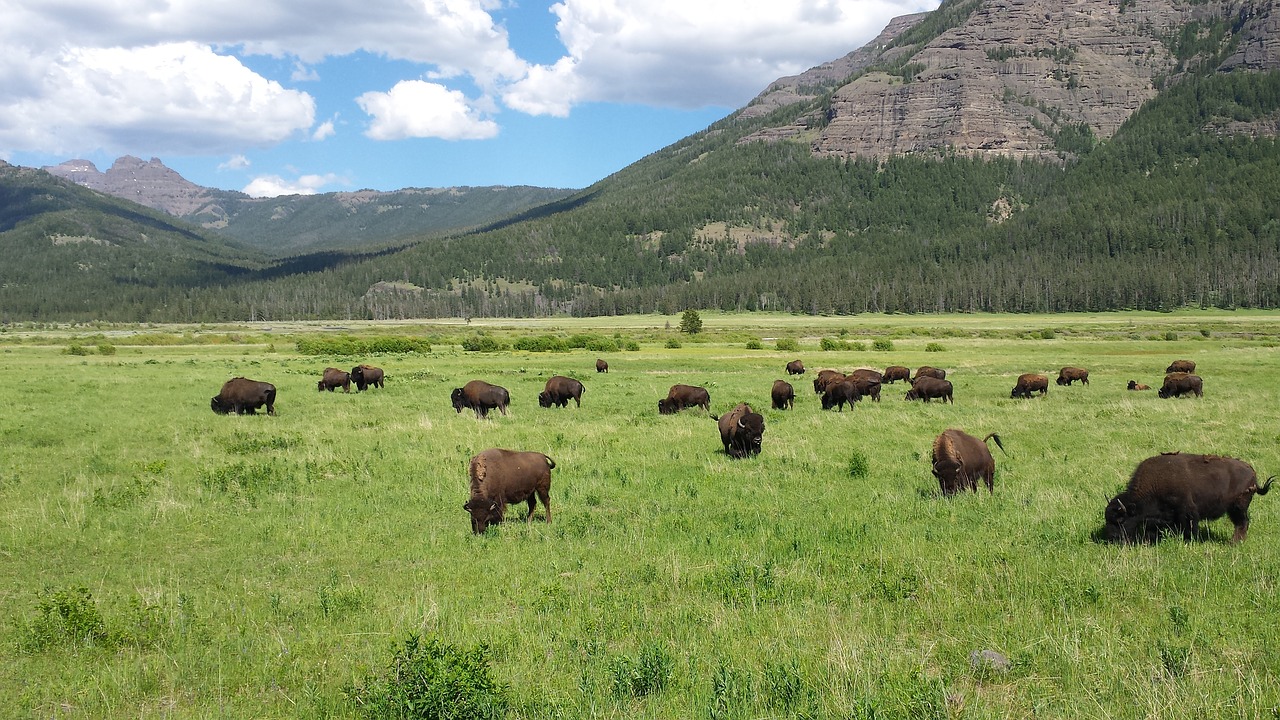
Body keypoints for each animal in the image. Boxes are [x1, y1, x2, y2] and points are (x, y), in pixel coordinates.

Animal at [1105, 450, 1274, 540]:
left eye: (1120, 520)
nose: (1112, 538)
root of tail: (1251, 471)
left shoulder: (1187, 511)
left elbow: (1190, 526)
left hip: (1237, 507)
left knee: (1242, 523)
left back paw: (1234, 543)